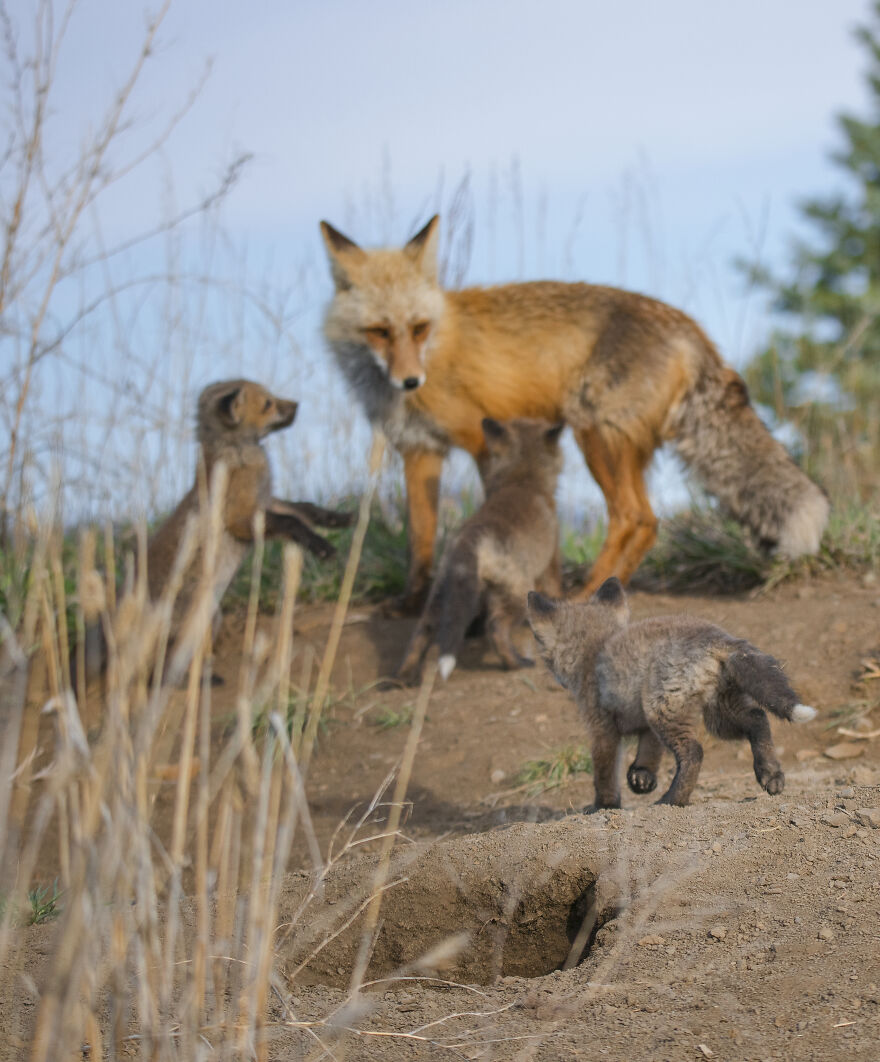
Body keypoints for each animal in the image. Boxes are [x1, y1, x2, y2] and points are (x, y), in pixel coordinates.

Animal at [79, 380, 353, 685]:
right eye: (268, 403)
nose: (296, 405)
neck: (236, 452)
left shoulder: (264, 501)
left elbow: (304, 509)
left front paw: (338, 518)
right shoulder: (241, 517)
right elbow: (292, 522)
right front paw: (320, 545)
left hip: (211, 620)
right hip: (187, 631)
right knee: (156, 677)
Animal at [320, 215, 829, 613]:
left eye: (419, 328)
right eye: (379, 331)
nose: (410, 381)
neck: (438, 345)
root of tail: (688, 326)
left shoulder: (484, 438)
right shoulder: (419, 449)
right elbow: (419, 539)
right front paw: (410, 603)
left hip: (594, 433)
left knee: (635, 517)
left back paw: (586, 594)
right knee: (645, 522)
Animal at [395, 417, 564, 685]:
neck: (523, 481)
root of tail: (468, 539)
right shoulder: (552, 556)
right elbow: (556, 585)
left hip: (440, 597)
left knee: (421, 633)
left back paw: (402, 678)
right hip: (516, 595)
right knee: (495, 628)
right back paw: (515, 663)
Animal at [526, 577, 817, 808]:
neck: (594, 649)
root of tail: (716, 636)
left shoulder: (603, 728)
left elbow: (604, 773)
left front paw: (604, 805)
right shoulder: (644, 720)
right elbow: (648, 754)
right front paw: (641, 778)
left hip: (667, 713)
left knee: (695, 753)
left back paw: (672, 800)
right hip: (718, 715)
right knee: (758, 719)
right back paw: (770, 774)